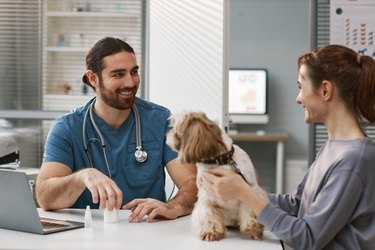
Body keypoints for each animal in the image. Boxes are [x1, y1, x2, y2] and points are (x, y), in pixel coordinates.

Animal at [166, 111, 266, 240]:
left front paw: (253, 229)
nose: (167, 134)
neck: (221, 161)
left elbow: (250, 210)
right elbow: (209, 215)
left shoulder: (251, 189)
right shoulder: (207, 197)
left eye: (175, 128)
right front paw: (211, 232)